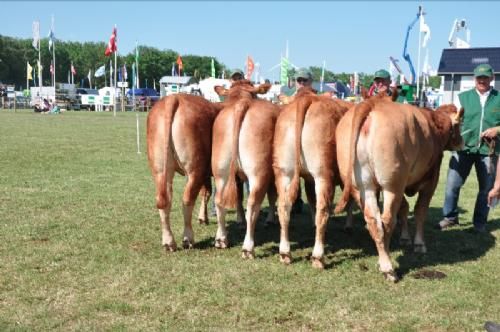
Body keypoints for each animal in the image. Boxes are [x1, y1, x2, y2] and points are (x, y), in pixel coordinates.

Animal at [146, 93, 221, 252]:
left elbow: (206, 192)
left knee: (164, 201)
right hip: (194, 169)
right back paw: (188, 239)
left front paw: (203, 218)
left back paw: (169, 242)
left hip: (161, 171)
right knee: (187, 199)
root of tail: (173, 98)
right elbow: (208, 193)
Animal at [212, 79, 282, 255]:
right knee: (253, 204)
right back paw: (248, 247)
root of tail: (242, 104)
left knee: (219, 200)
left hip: (221, 172)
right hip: (258, 173)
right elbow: (272, 196)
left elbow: (238, 197)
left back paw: (221, 239)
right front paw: (270, 219)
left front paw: (240, 221)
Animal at [274, 87, 352, 268]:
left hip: (284, 172)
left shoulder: (308, 179)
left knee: (283, 206)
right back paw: (318, 257)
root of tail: (305, 99)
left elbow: (311, 201)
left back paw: (285, 253)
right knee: (323, 209)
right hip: (323, 175)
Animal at [334, 94, 462, 282]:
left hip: (364, 186)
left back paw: (382, 260)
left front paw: (405, 238)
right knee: (387, 220)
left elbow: (404, 208)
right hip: (392, 185)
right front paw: (419, 243)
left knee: (373, 220)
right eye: (459, 124)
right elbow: (420, 211)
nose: (462, 142)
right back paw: (388, 267)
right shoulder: (431, 180)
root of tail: (372, 103)